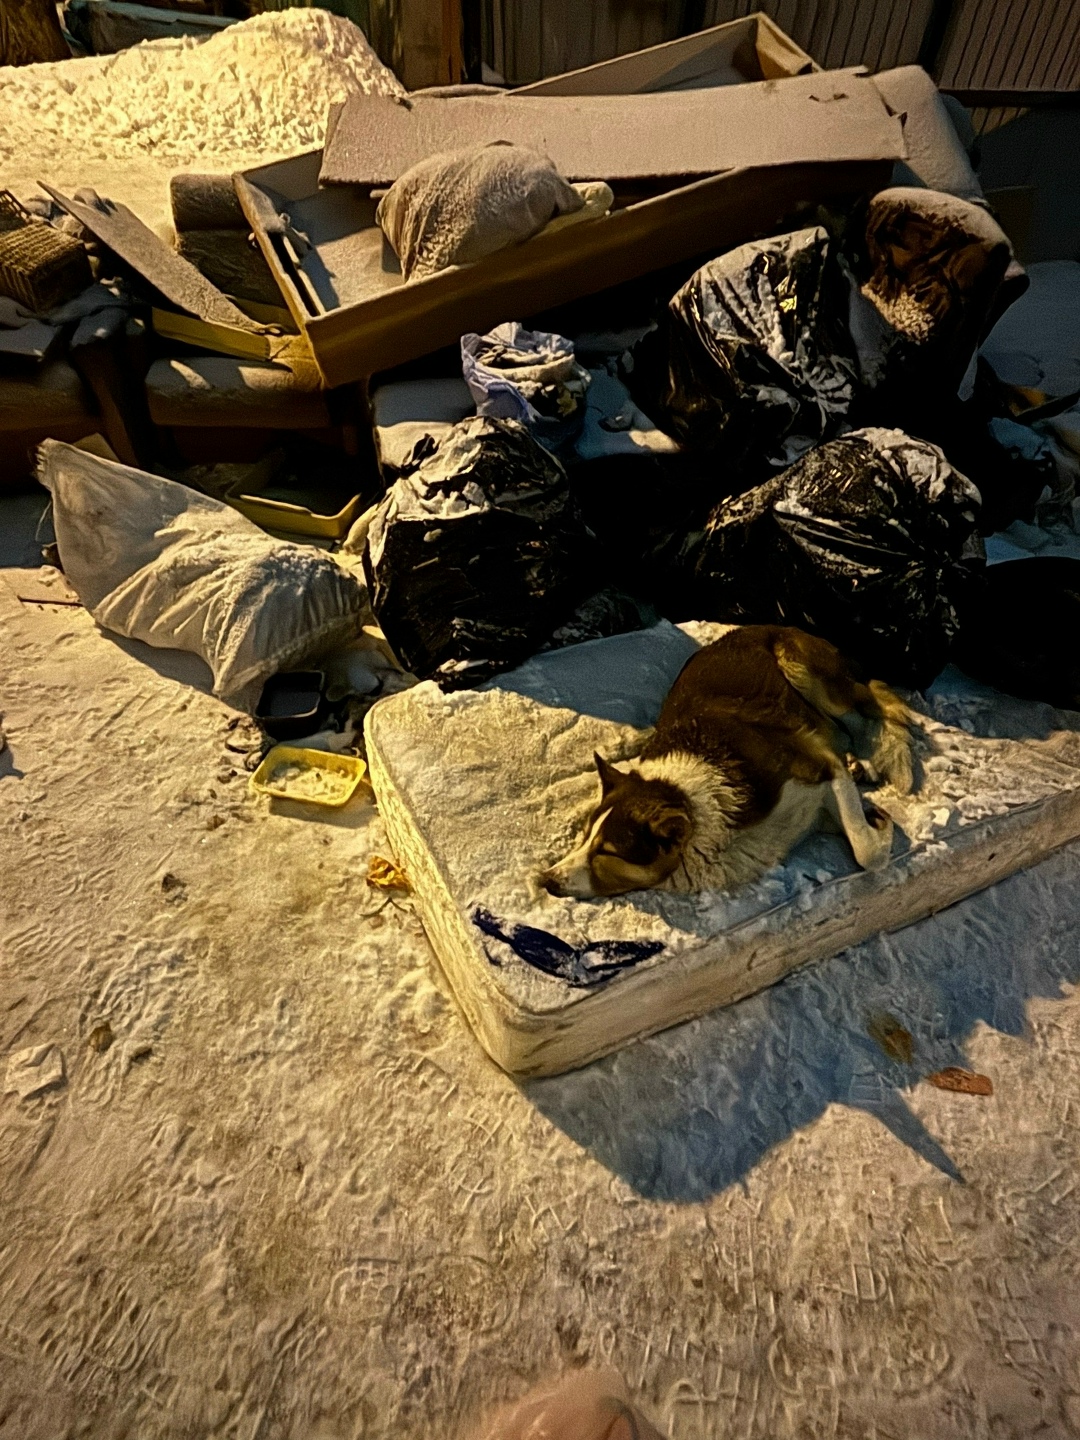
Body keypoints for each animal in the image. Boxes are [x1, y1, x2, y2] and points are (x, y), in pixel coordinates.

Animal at [541, 625, 915, 900]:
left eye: (607, 853)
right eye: (585, 836)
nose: (547, 880)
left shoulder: (822, 767)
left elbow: (867, 852)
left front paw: (880, 825)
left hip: (804, 670)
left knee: (866, 708)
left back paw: (868, 757)